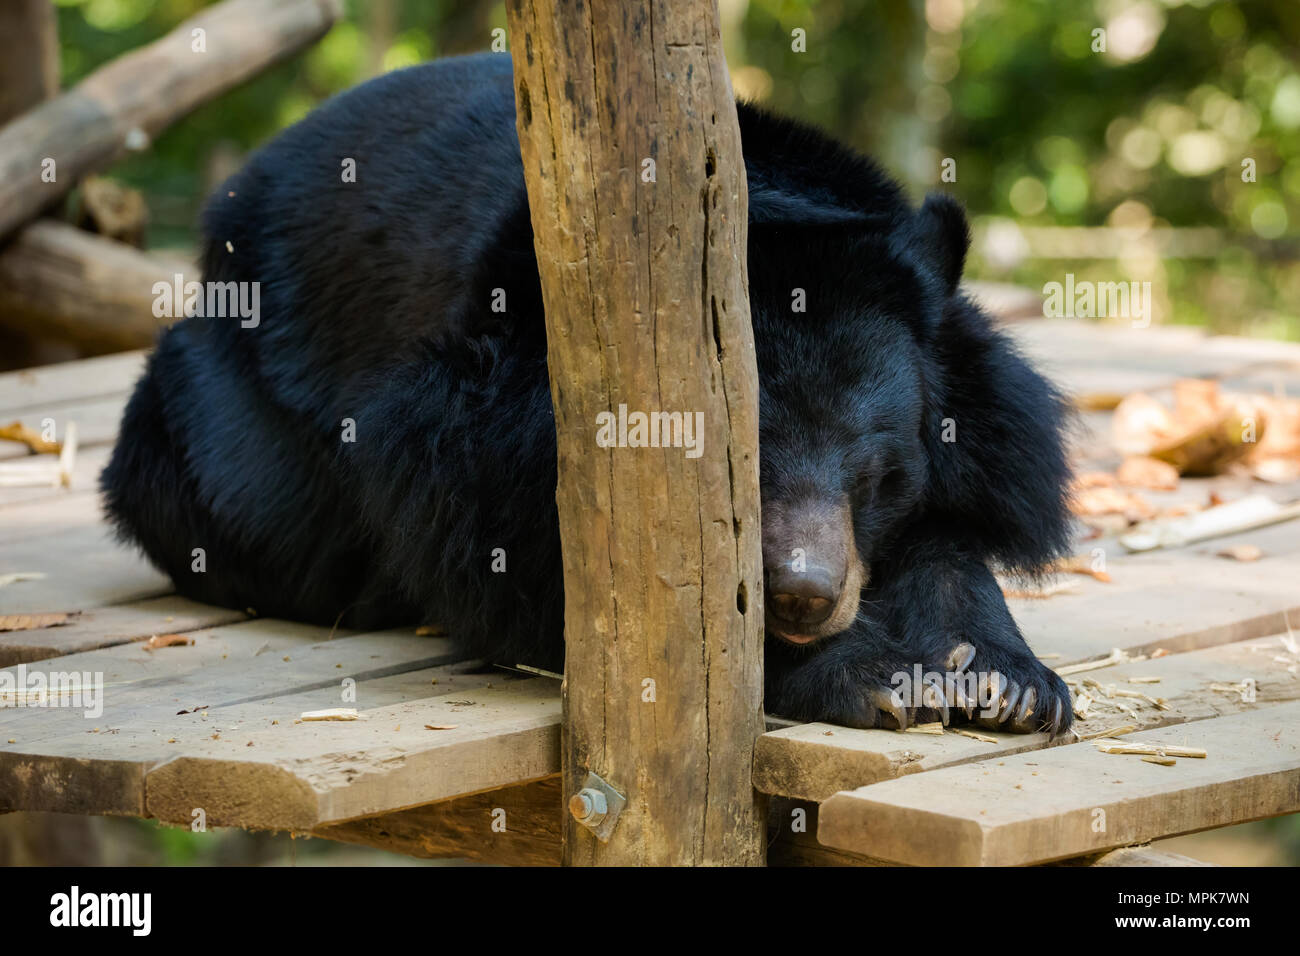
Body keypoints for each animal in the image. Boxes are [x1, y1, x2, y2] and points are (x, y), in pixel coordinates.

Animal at [101, 52, 1071, 738]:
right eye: (740, 465)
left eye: (876, 474)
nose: (803, 595)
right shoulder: (476, 429)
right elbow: (550, 574)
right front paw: (872, 673)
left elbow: (951, 534)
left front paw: (1010, 681)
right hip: (231, 426)